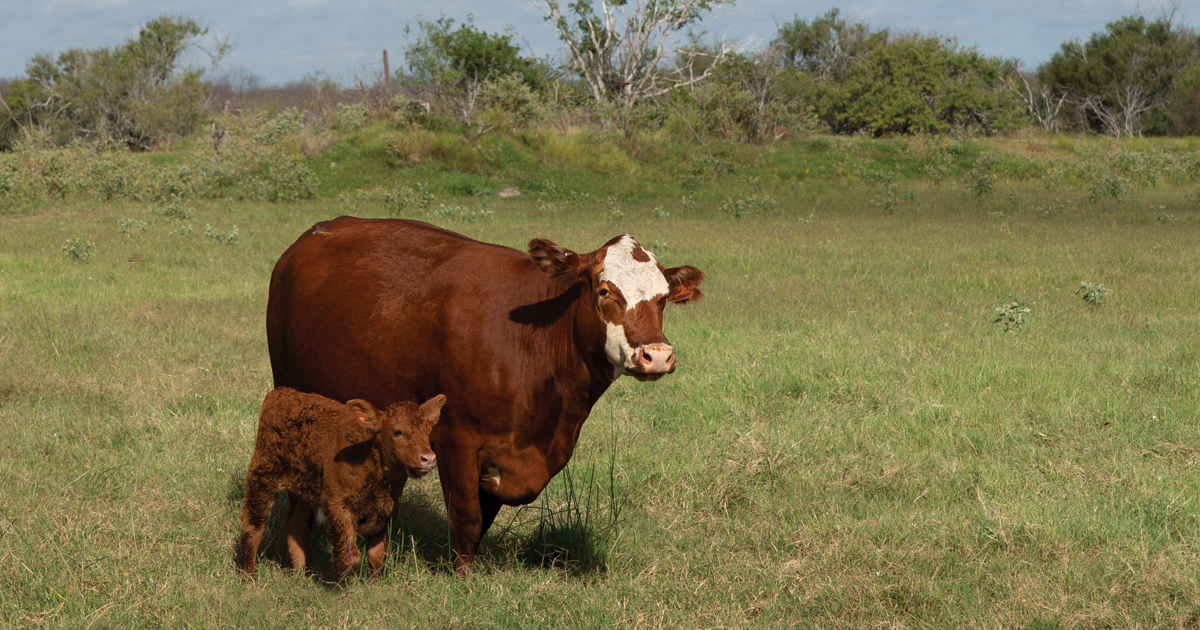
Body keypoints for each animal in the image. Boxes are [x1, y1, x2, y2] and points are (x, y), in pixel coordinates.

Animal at [238, 386, 446, 578]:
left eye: (428, 431)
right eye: (397, 432)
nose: (428, 458)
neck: (366, 457)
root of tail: (281, 393)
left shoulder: (386, 510)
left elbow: (377, 555)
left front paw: (375, 584)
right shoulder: (337, 506)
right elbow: (348, 557)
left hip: (302, 487)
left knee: (296, 526)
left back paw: (300, 576)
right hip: (264, 475)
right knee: (253, 526)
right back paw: (249, 576)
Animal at [267, 216, 700, 573]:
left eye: (663, 298)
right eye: (605, 291)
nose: (656, 355)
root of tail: (312, 235)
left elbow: (484, 517)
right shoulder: (455, 437)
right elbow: (468, 518)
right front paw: (463, 579)